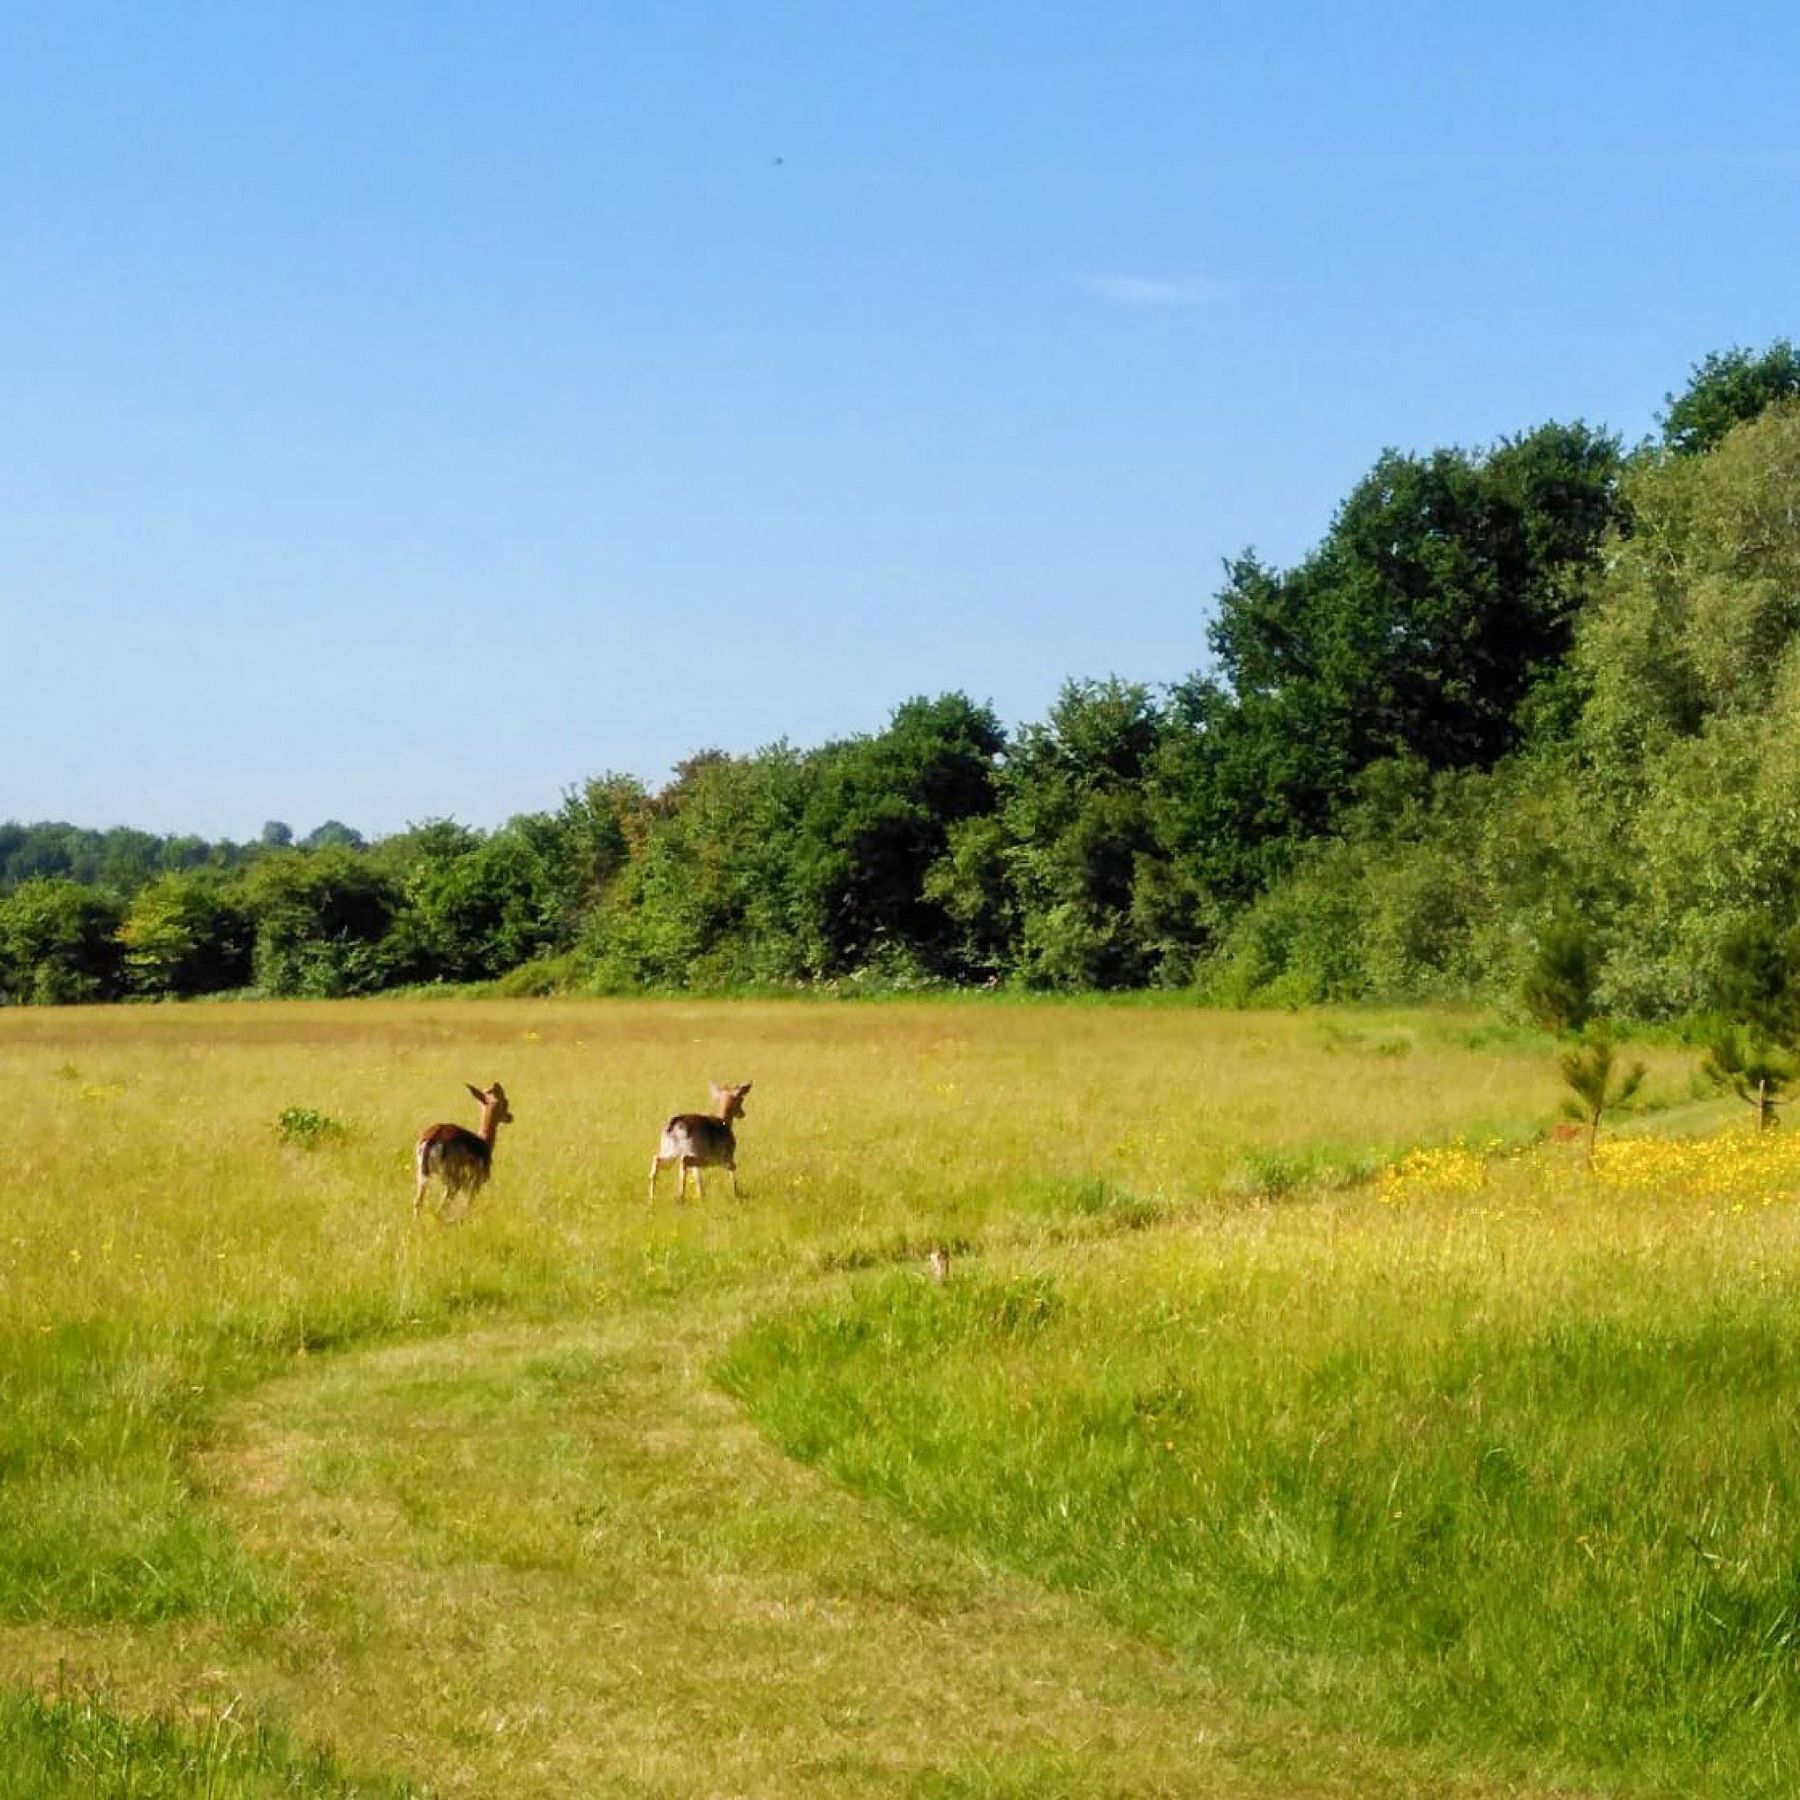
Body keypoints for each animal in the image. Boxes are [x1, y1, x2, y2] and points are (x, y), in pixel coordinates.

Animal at [414, 1082, 514, 1219]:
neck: (485, 1141)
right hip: (452, 1182)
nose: (510, 1117)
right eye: (505, 1101)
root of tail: (432, 1137)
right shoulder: (475, 1185)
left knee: (418, 1203)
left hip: (422, 1177)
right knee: (440, 1209)